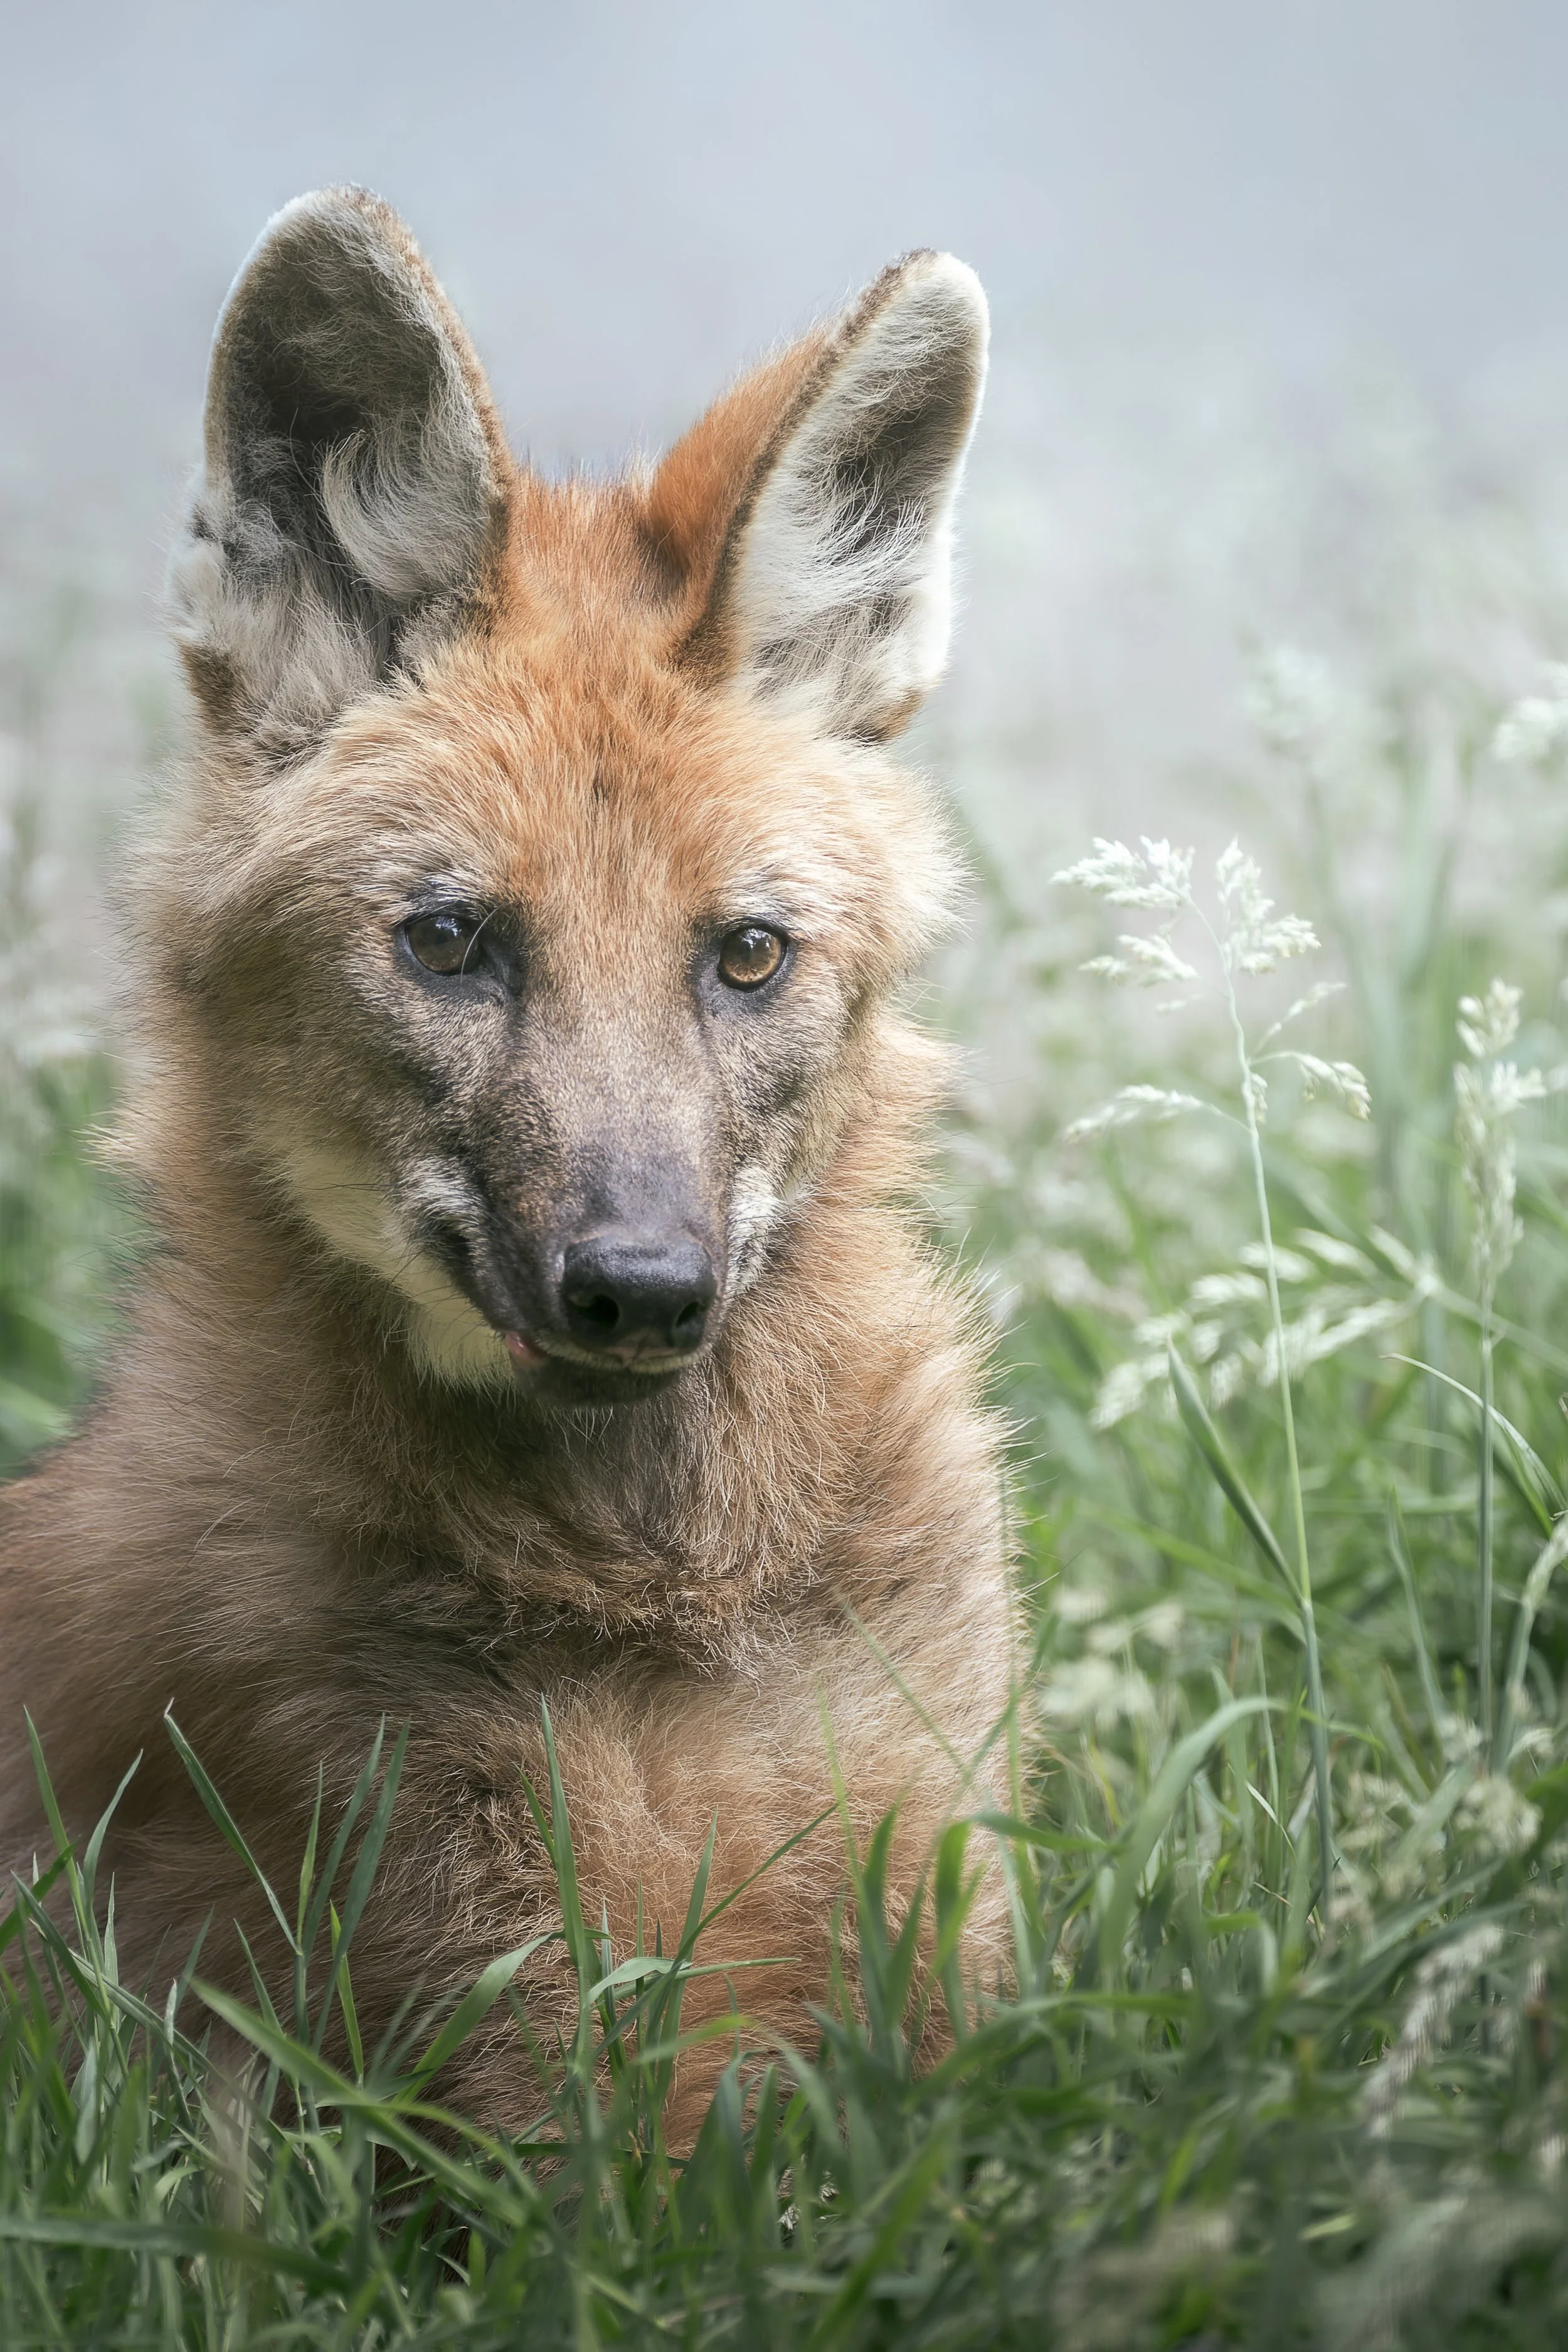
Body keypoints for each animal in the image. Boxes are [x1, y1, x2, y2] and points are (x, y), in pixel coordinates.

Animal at [0, 189, 1012, 2133]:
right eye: (452, 942)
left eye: (745, 955)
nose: (640, 1289)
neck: (669, 1600)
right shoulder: (504, 2048)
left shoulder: (945, 1929)